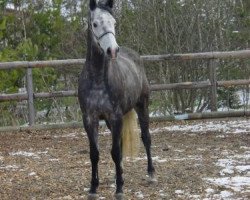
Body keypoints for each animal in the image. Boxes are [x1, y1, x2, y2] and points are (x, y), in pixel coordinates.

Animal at [78, 0, 155, 198]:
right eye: (95, 24)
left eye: (114, 22)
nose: (112, 50)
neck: (97, 80)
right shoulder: (89, 119)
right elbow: (95, 154)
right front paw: (93, 188)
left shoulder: (116, 116)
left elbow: (115, 152)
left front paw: (119, 189)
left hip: (142, 105)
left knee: (146, 138)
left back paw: (151, 174)